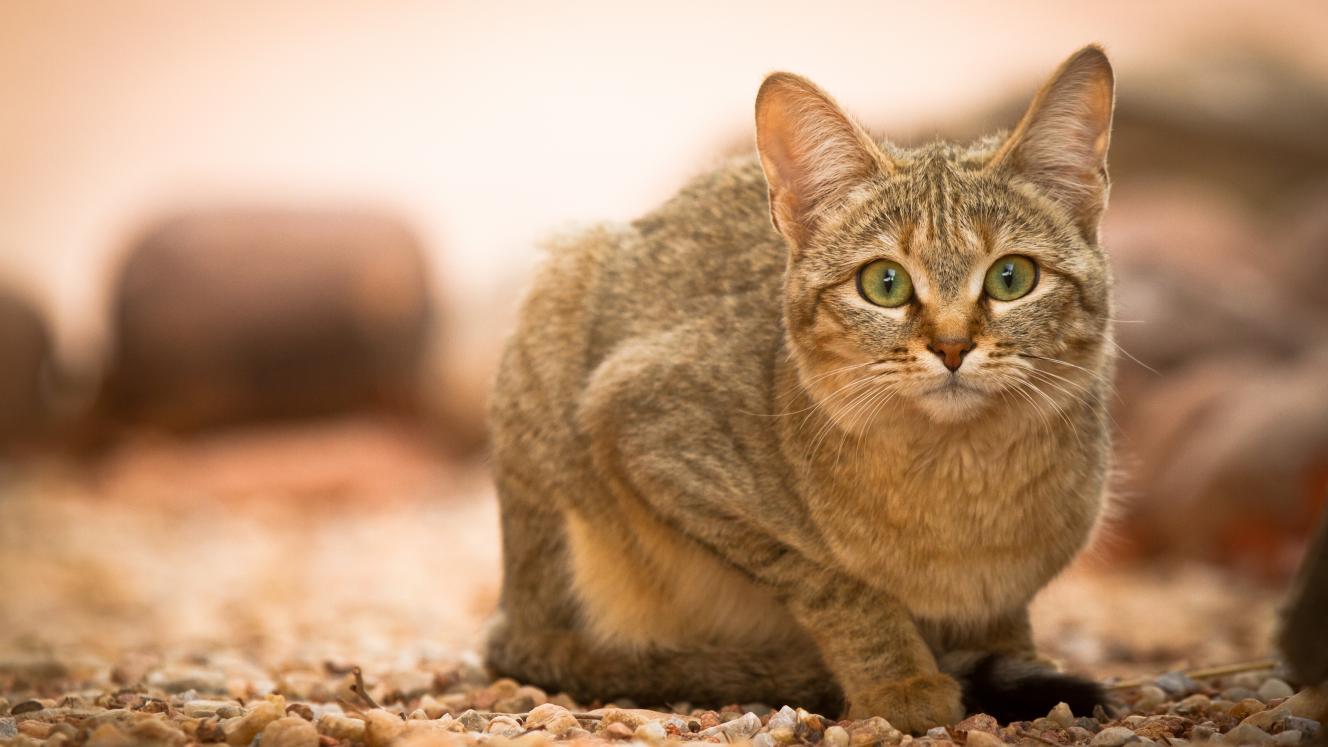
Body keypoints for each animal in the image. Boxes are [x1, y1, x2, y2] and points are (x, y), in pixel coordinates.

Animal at [485, 45, 1116, 732]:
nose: (952, 346)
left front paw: (1016, 661)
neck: (964, 481)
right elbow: (833, 580)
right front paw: (902, 679)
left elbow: (1004, 621)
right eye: (885, 283)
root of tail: (515, 619)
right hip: (560, 297)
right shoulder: (642, 434)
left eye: (1011, 277)